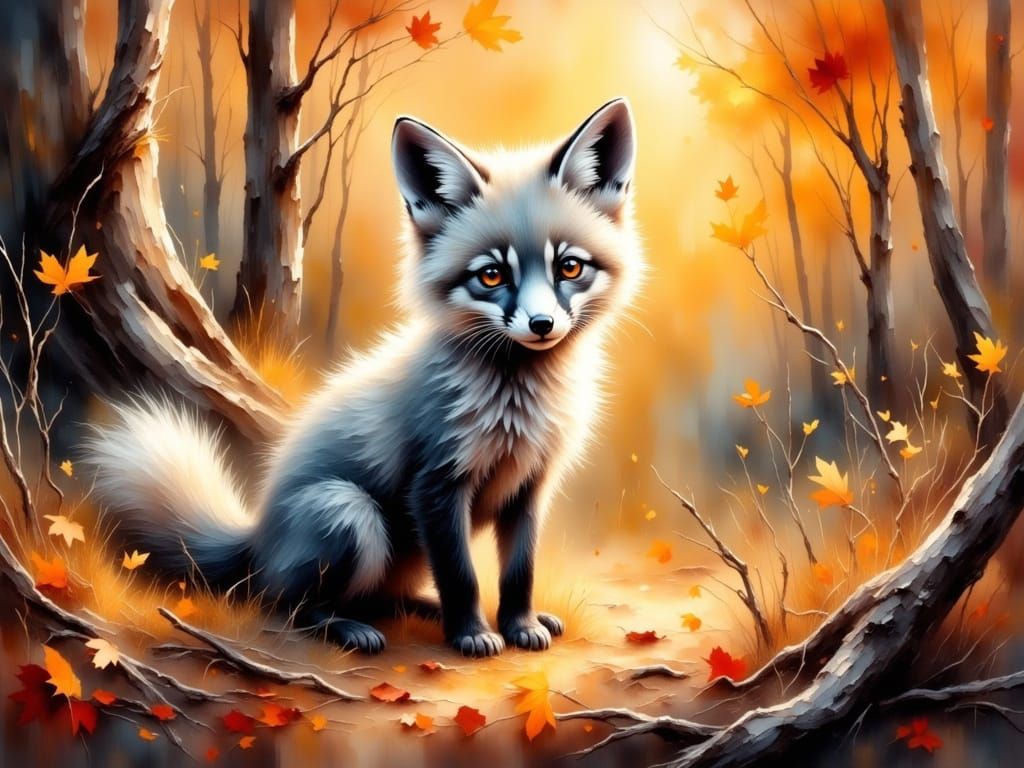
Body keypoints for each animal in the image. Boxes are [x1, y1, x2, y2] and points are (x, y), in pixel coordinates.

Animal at [85, 98, 641, 657]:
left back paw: (420, 608)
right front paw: (472, 633)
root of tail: (257, 537)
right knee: (287, 605)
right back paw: (349, 628)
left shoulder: (529, 486)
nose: (542, 325)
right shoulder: (436, 485)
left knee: (380, 597)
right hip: (352, 515)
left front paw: (519, 624)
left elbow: (519, 571)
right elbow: (461, 574)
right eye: (491, 275)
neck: (517, 404)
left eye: (569, 268)